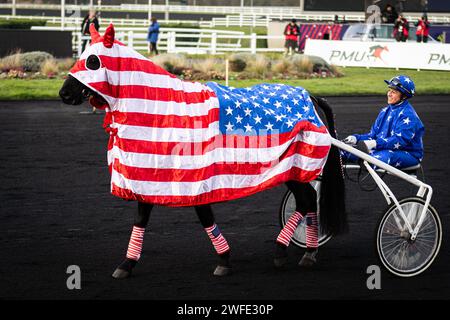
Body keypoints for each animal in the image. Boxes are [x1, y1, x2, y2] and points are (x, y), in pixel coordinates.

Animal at [58, 24, 346, 278]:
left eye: (92, 61)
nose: (64, 93)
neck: (165, 110)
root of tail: (309, 96)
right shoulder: (149, 173)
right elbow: (142, 217)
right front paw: (127, 264)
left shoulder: (196, 174)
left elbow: (204, 215)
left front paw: (224, 259)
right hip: (292, 169)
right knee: (308, 199)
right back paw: (306, 251)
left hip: (296, 164)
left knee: (307, 199)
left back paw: (286, 250)